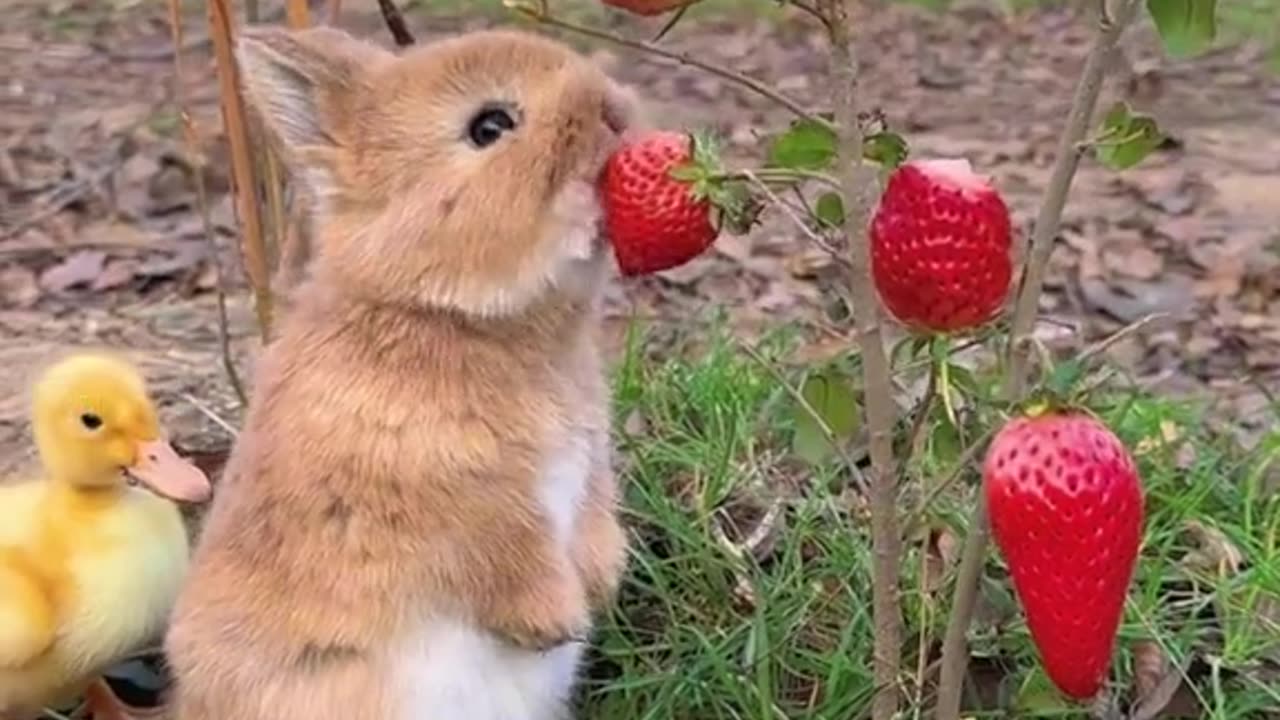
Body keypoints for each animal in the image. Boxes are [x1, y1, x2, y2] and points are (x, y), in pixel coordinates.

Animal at [163, 22, 634, 717]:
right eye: (489, 126)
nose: (617, 113)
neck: (441, 314)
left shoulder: (588, 466)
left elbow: (595, 516)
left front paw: (602, 581)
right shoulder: (457, 507)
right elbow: (507, 560)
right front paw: (561, 621)